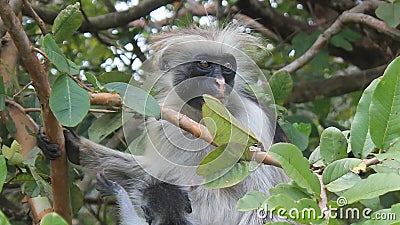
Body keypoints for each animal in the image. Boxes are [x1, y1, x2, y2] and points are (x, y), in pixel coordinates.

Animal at [37, 25, 290, 224]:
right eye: (204, 64)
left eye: (227, 67)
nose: (219, 82)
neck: (201, 119)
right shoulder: (163, 124)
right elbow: (152, 175)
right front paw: (75, 146)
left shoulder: (252, 123)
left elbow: (265, 202)